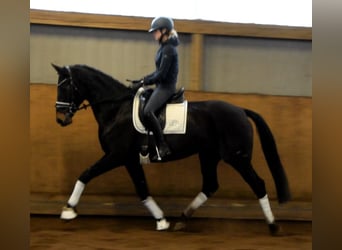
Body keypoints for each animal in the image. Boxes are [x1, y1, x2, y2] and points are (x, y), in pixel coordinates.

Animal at [52, 63, 290, 235]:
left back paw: (272, 225)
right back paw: (182, 219)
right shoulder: (130, 160)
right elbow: (142, 189)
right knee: (210, 185)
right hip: (209, 155)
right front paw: (161, 220)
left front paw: (68, 210)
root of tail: (240, 110)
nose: (61, 119)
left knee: (258, 184)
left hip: (237, 158)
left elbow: (86, 174)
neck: (116, 109)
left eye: (65, 86)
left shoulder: (116, 156)